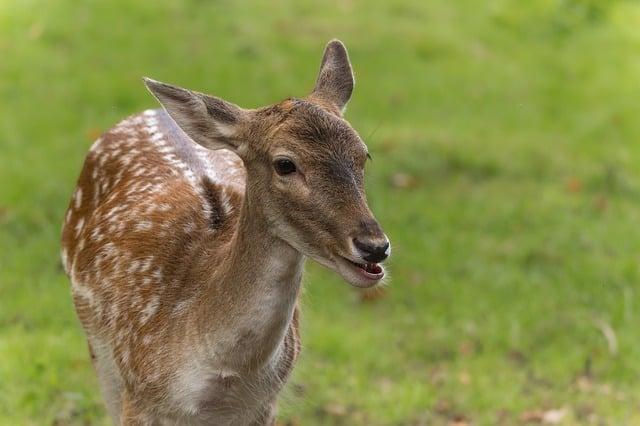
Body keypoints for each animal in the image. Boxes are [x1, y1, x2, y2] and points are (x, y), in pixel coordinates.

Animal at [61, 39, 390, 422]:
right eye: (285, 164)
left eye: (364, 155)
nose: (374, 246)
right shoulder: (138, 396)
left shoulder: (265, 404)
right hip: (98, 349)